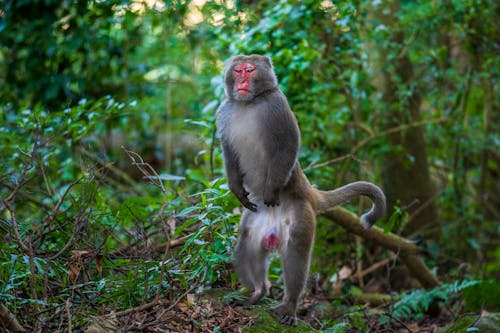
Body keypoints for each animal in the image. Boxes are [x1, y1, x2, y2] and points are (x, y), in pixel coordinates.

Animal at [216, 54, 386, 324]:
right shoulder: (225, 111)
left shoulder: (276, 107)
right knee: (247, 242)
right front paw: (237, 190)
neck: (249, 104)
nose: (241, 81)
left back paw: (289, 306)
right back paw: (257, 292)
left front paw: (271, 190)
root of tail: (309, 191)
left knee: (296, 251)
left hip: (301, 211)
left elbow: (287, 144)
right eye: (238, 69)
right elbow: (230, 154)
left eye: (250, 70)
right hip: (258, 217)